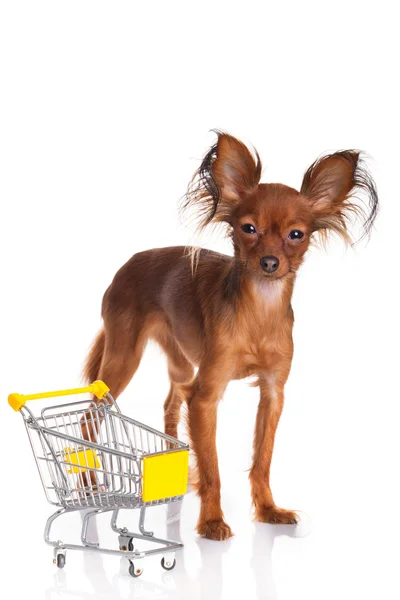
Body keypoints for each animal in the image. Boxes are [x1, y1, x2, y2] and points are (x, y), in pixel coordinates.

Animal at [83, 134, 376, 540]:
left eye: (296, 235)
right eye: (248, 228)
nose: (269, 262)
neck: (258, 313)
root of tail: (127, 265)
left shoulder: (272, 393)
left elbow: (262, 460)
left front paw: (268, 510)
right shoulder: (205, 397)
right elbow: (213, 468)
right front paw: (211, 520)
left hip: (179, 363)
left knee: (170, 404)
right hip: (123, 357)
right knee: (88, 417)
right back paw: (88, 484)